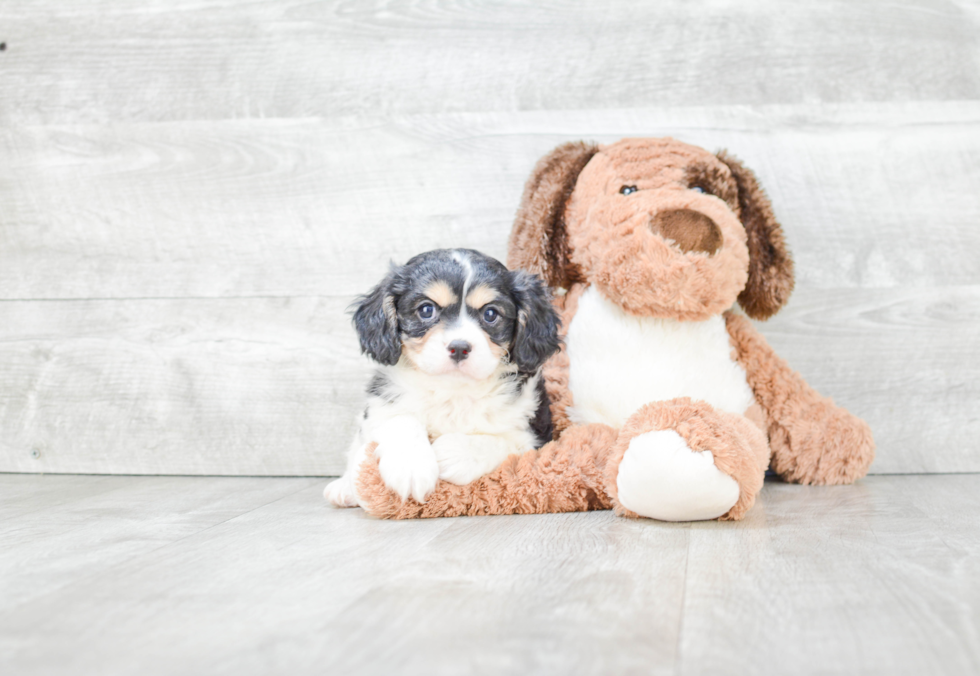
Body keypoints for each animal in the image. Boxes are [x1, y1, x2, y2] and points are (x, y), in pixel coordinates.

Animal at [328, 248, 564, 508]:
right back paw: (344, 487)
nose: (459, 347)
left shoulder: (537, 436)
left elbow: (504, 442)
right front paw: (410, 466)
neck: (453, 390)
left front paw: (454, 452)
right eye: (426, 310)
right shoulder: (381, 405)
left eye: (490, 314)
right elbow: (400, 419)